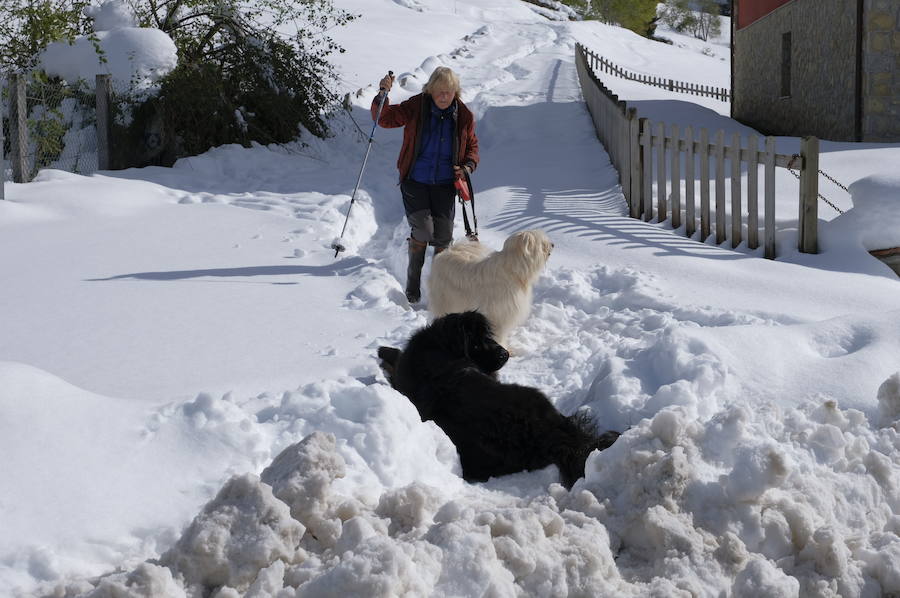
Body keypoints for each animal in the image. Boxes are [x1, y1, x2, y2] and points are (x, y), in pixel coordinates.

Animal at [378, 312, 620, 490]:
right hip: (538, 398)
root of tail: (545, 433)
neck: (439, 349)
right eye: (475, 344)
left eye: (488, 336)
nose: (504, 353)